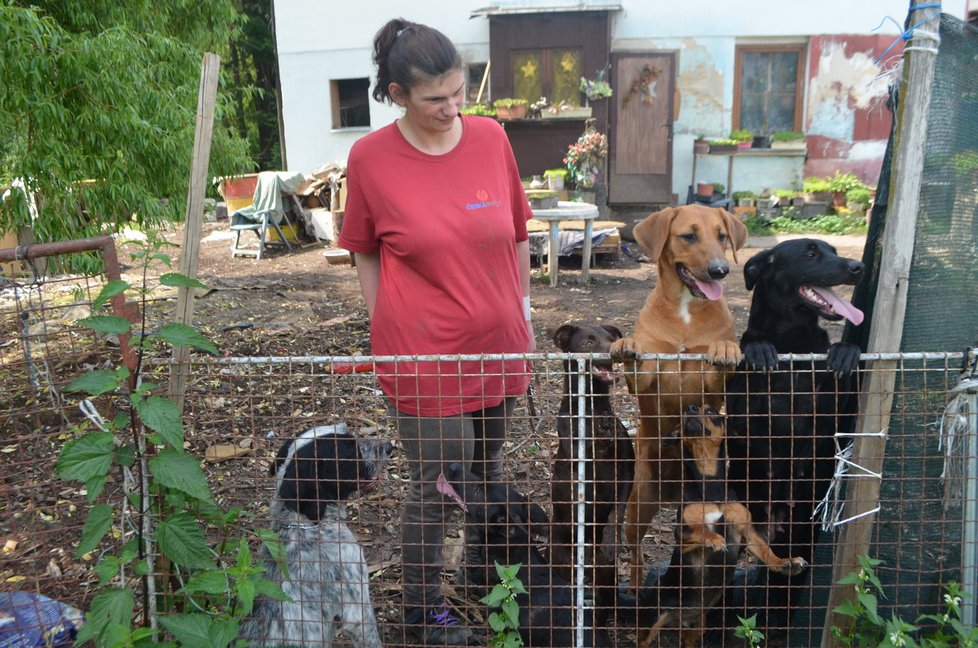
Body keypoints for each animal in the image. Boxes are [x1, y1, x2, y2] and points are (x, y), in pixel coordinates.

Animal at [548, 324, 632, 628]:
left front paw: (610, 539)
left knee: (604, 606)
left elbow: (618, 511)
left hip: (605, 576)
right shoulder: (579, 462)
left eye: (612, 338)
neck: (594, 408)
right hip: (560, 562)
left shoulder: (626, 468)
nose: (617, 351)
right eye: (589, 342)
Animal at [608, 205, 748, 596]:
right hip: (639, 505)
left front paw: (726, 348)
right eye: (689, 236)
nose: (720, 270)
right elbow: (638, 363)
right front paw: (626, 345)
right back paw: (635, 590)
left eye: (722, 236)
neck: (687, 308)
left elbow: (719, 365)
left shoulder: (713, 389)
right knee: (636, 553)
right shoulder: (646, 381)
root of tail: (673, 491)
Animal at [724, 239, 860, 628]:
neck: (793, 341)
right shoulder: (741, 420)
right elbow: (752, 358)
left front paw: (845, 351)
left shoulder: (833, 418)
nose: (858, 267)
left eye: (833, 252)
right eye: (811, 254)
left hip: (802, 541)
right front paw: (759, 349)